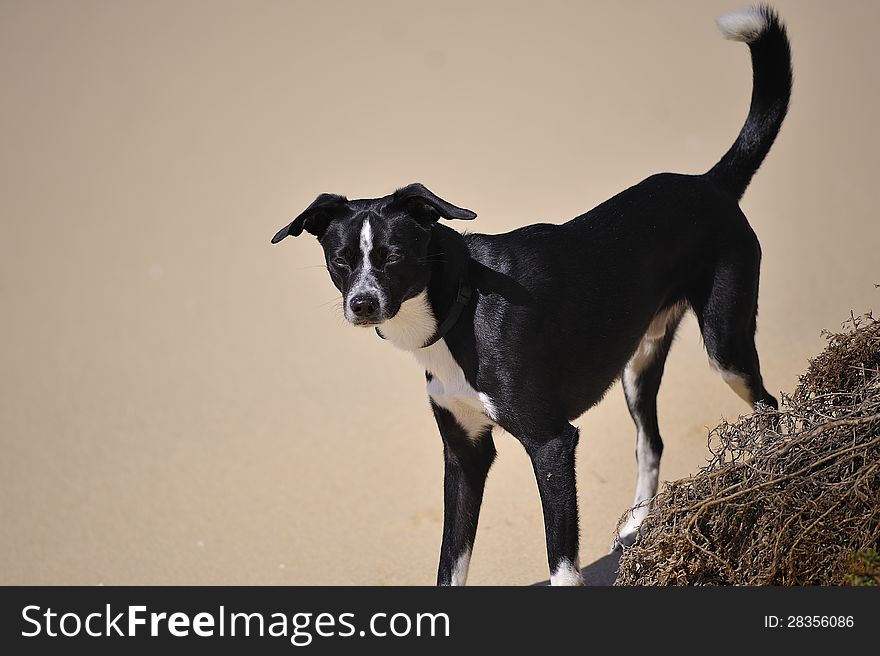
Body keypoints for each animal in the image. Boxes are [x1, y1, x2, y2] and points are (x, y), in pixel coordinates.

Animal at [270, 6, 792, 584]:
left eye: (392, 256)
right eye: (340, 260)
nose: (361, 305)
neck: (460, 313)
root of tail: (710, 183)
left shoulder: (551, 443)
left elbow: (561, 564)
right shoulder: (464, 456)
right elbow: (450, 566)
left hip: (726, 346)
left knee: (768, 406)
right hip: (637, 364)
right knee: (650, 440)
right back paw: (637, 525)